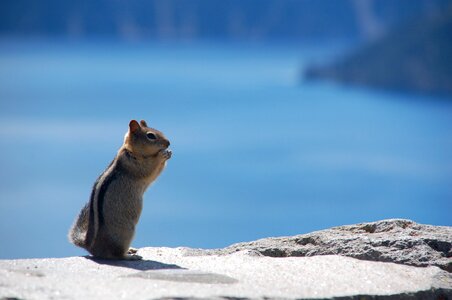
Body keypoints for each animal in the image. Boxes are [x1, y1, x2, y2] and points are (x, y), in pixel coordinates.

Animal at [68, 119, 172, 260]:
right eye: (151, 136)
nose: (168, 143)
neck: (130, 150)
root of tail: (91, 247)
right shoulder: (134, 165)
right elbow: (149, 168)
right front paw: (162, 155)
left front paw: (169, 153)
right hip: (126, 233)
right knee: (117, 255)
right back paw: (130, 256)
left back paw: (131, 250)